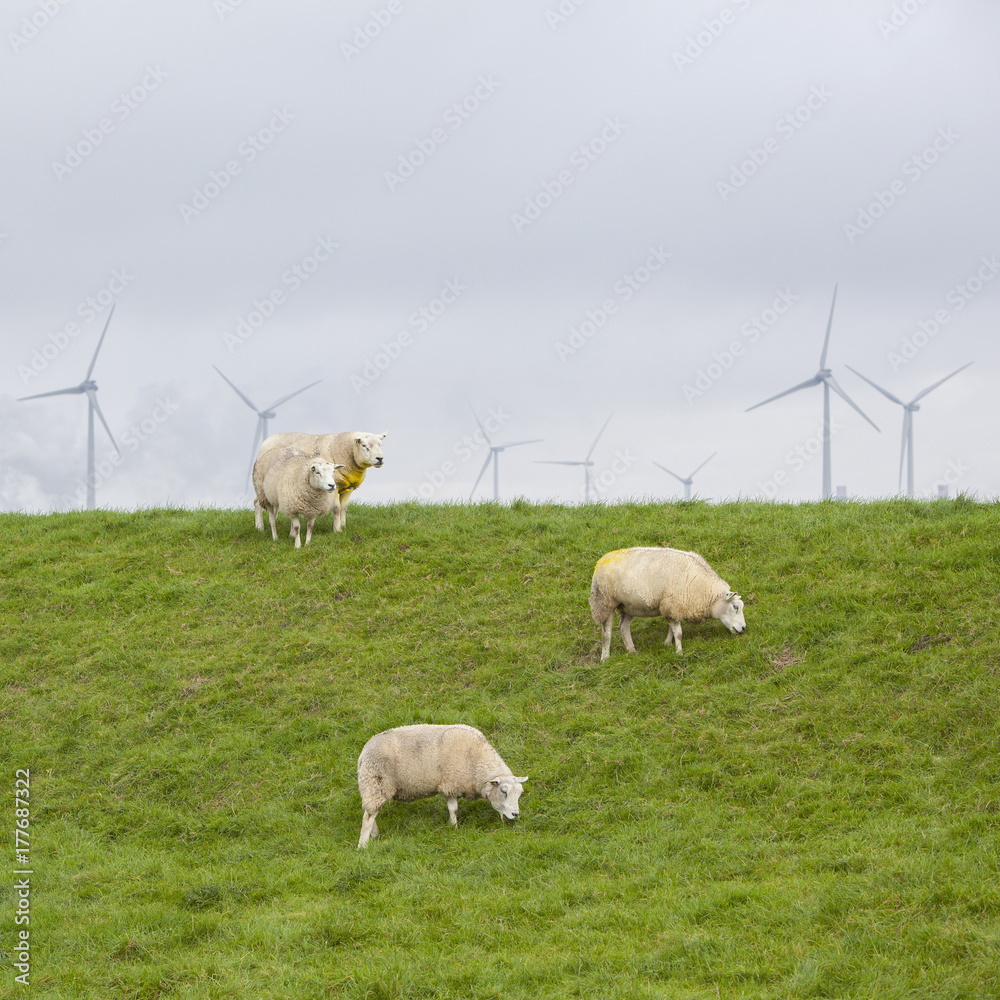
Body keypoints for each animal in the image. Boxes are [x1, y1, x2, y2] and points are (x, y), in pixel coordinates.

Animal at [256, 431, 386, 532]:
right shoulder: (334, 486)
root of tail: (266, 440)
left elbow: (344, 508)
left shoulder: (349, 487)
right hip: (261, 484)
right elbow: (336, 508)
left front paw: (343, 526)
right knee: (257, 502)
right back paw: (259, 527)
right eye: (364, 445)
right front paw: (337, 529)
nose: (379, 459)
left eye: (381, 445)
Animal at [356, 724, 528, 848]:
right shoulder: (451, 785)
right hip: (375, 783)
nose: (515, 814)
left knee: (370, 812)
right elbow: (454, 809)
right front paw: (454, 827)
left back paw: (375, 835)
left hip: (372, 787)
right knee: (368, 817)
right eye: (503, 791)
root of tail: (363, 754)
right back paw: (363, 845)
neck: (476, 764)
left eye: (520, 793)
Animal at [589, 546, 746, 659]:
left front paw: (667, 644)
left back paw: (632, 650)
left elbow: (672, 629)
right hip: (604, 602)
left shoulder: (673, 607)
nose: (744, 628)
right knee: (607, 632)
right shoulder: (672, 605)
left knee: (623, 627)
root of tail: (601, 561)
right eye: (735, 607)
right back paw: (605, 657)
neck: (705, 590)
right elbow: (679, 633)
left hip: (630, 605)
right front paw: (679, 652)